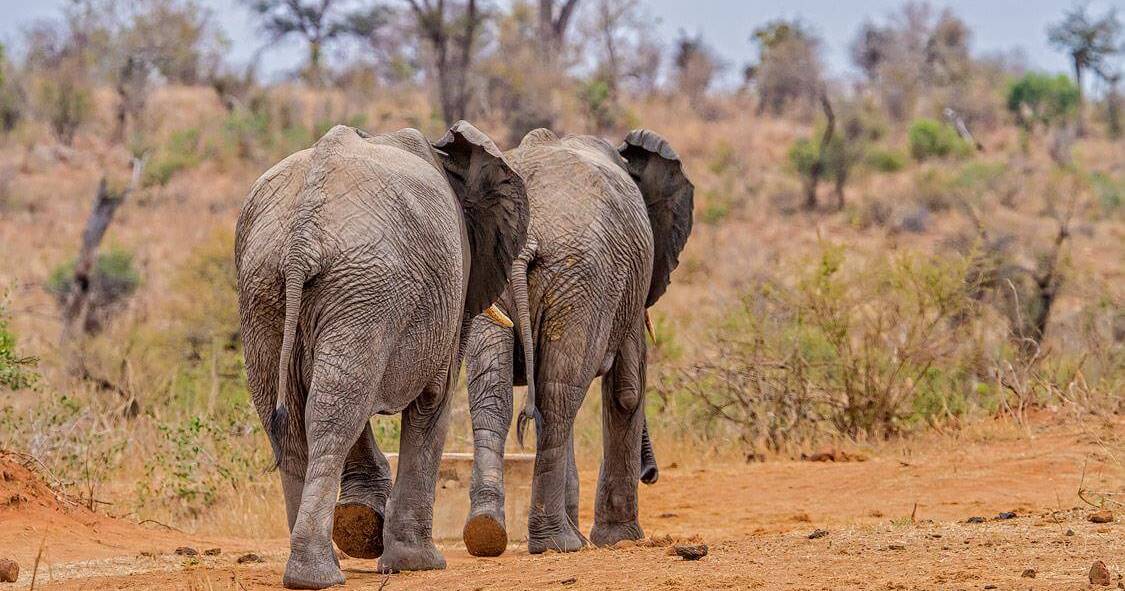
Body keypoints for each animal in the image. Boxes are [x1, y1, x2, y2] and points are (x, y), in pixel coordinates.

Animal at [235, 121, 529, 589]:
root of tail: (302, 237)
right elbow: (433, 401)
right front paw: (419, 564)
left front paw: (362, 528)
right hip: (362, 287)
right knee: (333, 413)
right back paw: (319, 575)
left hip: (269, 287)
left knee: (300, 415)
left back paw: (309, 572)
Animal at [461, 128, 693, 556]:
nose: (652, 473)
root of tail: (531, 237)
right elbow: (627, 392)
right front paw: (620, 539)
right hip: (584, 280)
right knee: (559, 398)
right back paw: (558, 543)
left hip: (507, 277)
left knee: (496, 395)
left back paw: (487, 533)